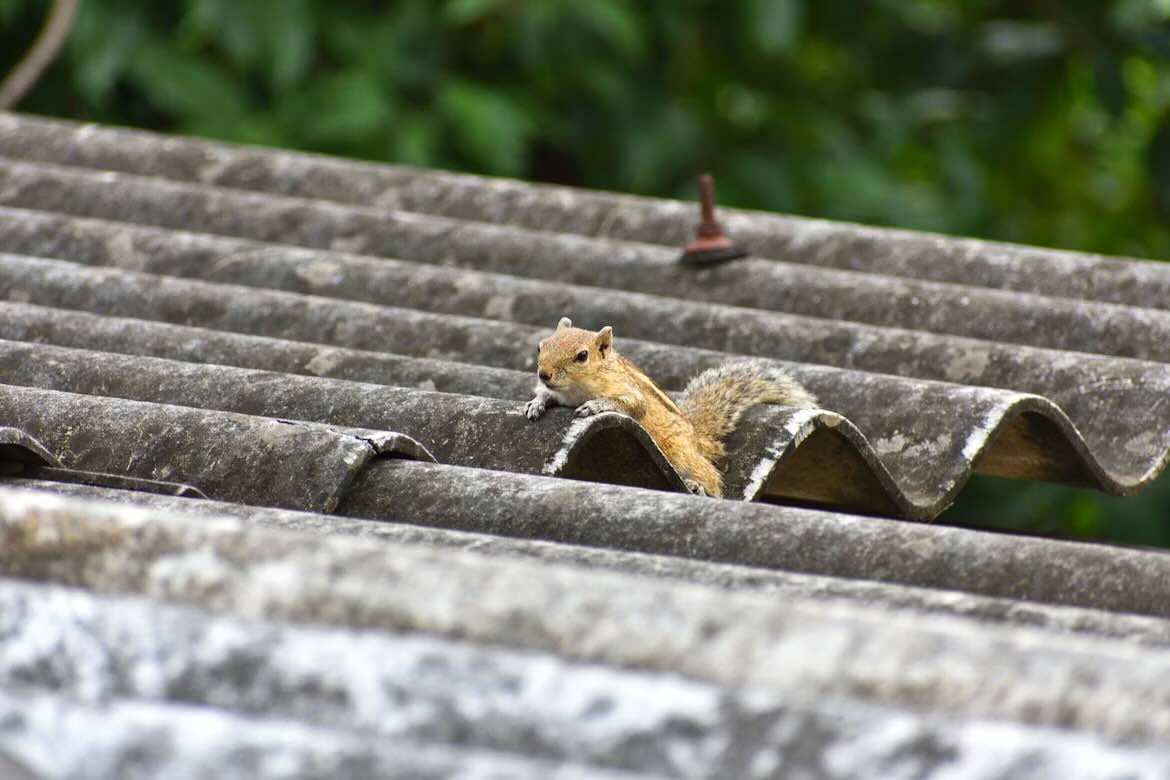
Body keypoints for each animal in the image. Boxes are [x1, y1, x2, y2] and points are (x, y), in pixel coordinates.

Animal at [524, 317, 817, 497]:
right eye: (540, 346)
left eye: (582, 356)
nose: (544, 374)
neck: (574, 389)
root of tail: (698, 439)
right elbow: (545, 396)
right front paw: (536, 404)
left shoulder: (628, 391)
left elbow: (633, 405)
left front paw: (595, 405)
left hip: (679, 452)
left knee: (712, 479)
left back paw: (699, 485)